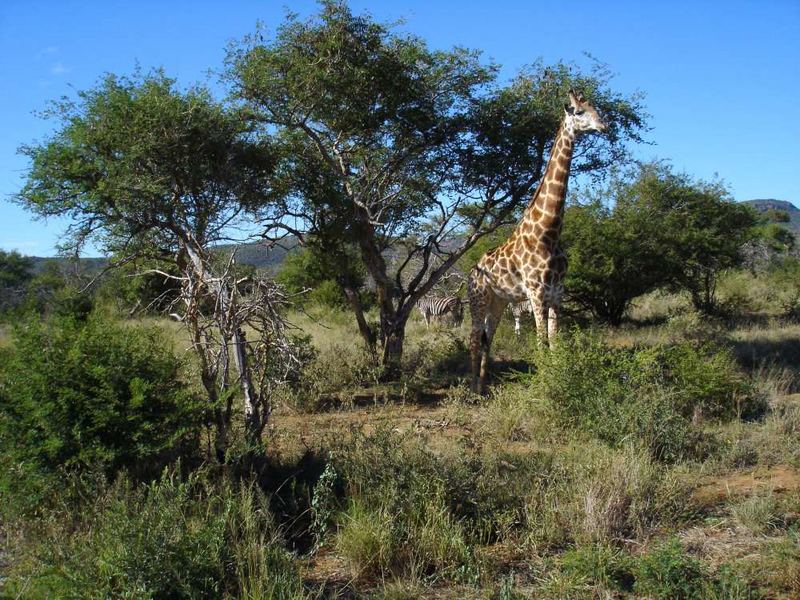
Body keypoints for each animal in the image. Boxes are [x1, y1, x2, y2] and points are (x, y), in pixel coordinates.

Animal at [466, 88, 604, 390]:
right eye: (579, 112)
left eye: (597, 109)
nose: (604, 125)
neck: (548, 233)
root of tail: (472, 271)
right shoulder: (536, 293)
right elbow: (540, 345)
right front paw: (543, 389)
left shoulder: (556, 294)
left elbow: (554, 342)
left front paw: (557, 384)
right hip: (478, 299)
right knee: (473, 338)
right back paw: (470, 389)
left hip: (498, 302)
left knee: (487, 337)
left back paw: (482, 387)